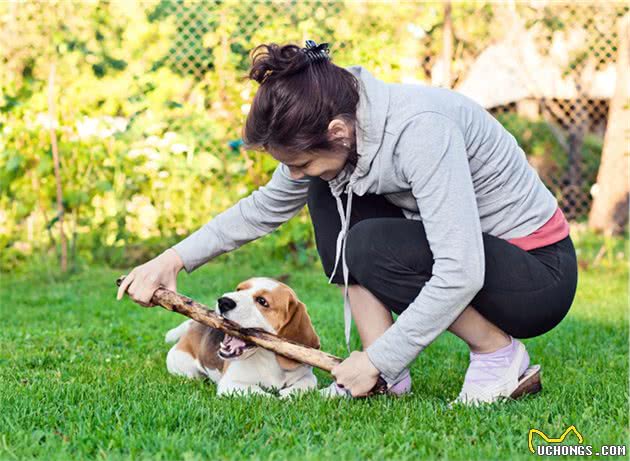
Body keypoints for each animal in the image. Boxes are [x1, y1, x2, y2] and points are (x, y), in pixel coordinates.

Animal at [164, 274, 320, 398]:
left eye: (262, 301)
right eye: (239, 289)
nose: (223, 301)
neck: (269, 360)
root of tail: (193, 326)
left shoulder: (307, 375)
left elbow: (307, 383)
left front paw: (288, 394)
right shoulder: (230, 383)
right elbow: (261, 393)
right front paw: (277, 398)